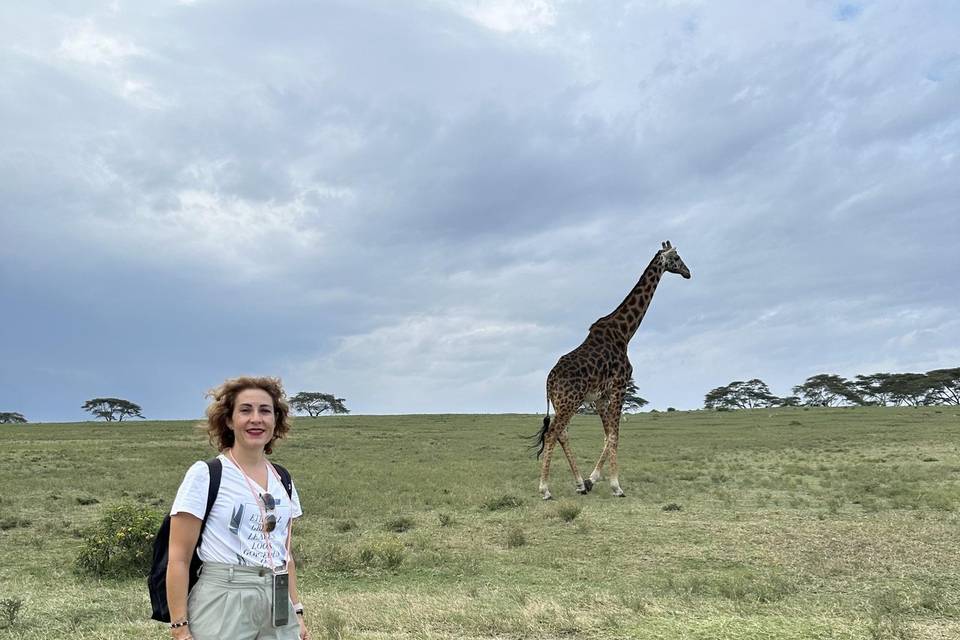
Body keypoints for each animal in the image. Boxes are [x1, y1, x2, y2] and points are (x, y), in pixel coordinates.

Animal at [532, 240, 688, 500]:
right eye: (676, 257)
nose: (688, 272)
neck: (625, 332)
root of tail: (548, 382)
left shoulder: (600, 396)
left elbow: (608, 435)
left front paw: (591, 480)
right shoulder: (619, 386)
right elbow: (615, 435)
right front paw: (616, 486)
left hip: (561, 403)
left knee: (562, 434)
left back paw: (578, 483)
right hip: (570, 402)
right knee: (553, 433)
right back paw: (545, 489)